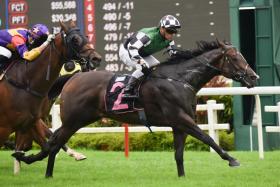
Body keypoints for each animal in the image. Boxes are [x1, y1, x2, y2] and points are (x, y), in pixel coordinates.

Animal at [0, 20, 100, 162]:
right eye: (74, 40)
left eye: (86, 37)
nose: (96, 59)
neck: (24, 81)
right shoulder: (6, 125)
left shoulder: (33, 119)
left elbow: (48, 138)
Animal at [15, 40, 260, 178]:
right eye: (235, 57)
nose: (254, 77)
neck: (179, 79)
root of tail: (73, 78)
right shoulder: (182, 119)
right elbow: (208, 138)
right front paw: (232, 159)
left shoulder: (178, 124)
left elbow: (179, 154)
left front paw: (182, 178)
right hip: (74, 120)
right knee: (55, 143)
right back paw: (45, 172)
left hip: (77, 120)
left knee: (52, 140)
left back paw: (31, 161)